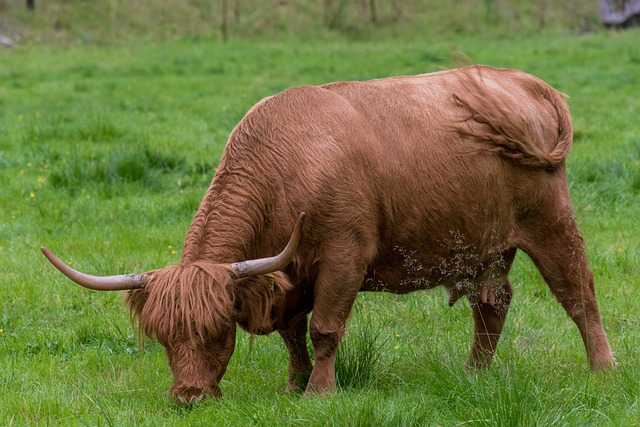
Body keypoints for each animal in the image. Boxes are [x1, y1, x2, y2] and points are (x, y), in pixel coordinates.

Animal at [40, 66, 616, 404]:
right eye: (163, 337)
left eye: (217, 331)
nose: (188, 395)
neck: (286, 169)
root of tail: (526, 82)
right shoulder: (287, 273)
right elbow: (292, 336)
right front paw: (292, 385)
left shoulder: (344, 257)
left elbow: (324, 328)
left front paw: (319, 393)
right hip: (484, 248)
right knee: (492, 305)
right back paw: (474, 374)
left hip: (550, 222)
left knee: (578, 295)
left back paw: (603, 370)